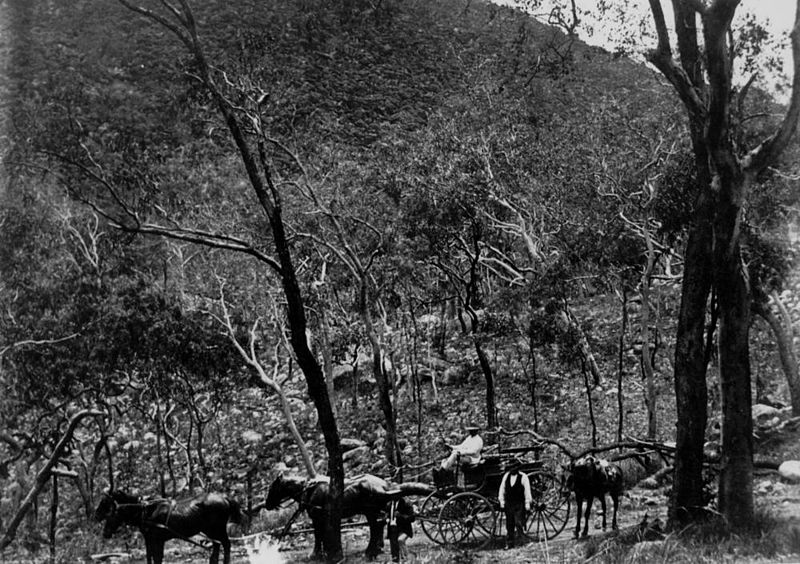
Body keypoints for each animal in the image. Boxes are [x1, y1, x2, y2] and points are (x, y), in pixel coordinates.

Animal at [95, 490, 244, 564]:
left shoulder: (158, 540)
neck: (146, 510)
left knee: (226, 544)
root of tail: (224, 498)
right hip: (211, 531)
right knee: (217, 546)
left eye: (105, 504)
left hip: (217, 529)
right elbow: (150, 557)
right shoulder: (149, 539)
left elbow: (157, 558)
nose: (96, 515)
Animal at [266, 472, 432, 560]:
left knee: (376, 527)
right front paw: (323, 552)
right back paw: (375, 549)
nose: (267, 505)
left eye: (272, 487)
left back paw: (371, 551)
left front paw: (315, 554)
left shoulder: (316, 518)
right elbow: (323, 535)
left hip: (370, 511)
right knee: (378, 526)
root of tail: (385, 485)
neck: (308, 490)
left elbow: (318, 535)